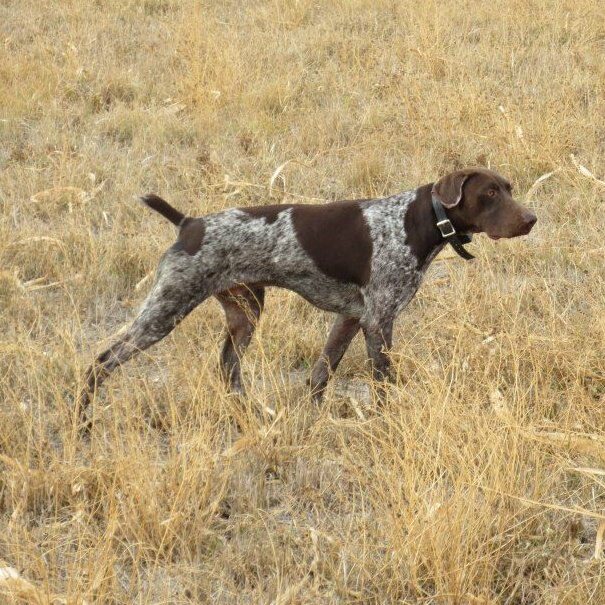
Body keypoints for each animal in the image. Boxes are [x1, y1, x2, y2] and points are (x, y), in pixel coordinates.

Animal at [76, 168, 536, 428]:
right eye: (490, 193)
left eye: (509, 188)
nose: (532, 219)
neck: (418, 220)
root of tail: (189, 223)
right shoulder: (378, 321)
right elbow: (383, 383)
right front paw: (389, 424)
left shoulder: (350, 319)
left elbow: (320, 376)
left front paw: (312, 420)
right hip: (166, 310)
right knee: (100, 363)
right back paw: (83, 424)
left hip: (245, 314)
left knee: (228, 370)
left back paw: (249, 417)